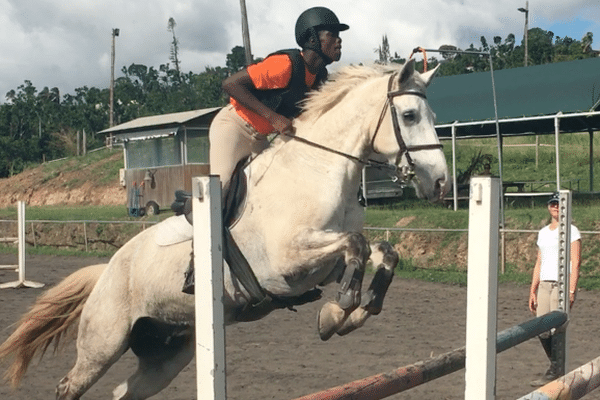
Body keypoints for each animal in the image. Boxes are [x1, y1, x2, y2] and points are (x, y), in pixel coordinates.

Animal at [0, 60, 448, 400]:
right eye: (409, 116)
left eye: (432, 116)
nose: (441, 182)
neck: (318, 171)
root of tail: (106, 269)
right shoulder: (287, 264)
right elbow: (355, 245)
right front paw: (337, 312)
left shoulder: (321, 265)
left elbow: (380, 251)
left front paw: (352, 311)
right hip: (103, 343)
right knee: (69, 386)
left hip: (168, 354)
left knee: (124, 392)